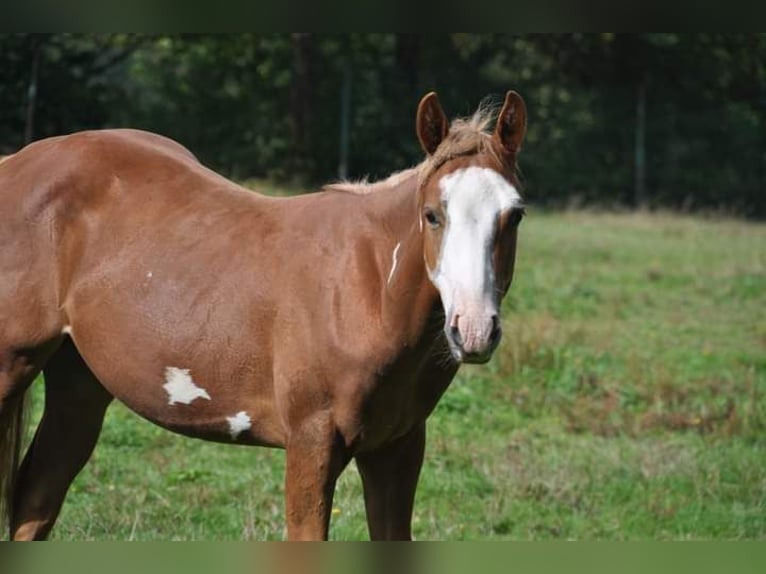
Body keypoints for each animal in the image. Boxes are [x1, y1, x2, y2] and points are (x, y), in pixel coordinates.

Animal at [0, 89, 528, 540]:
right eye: (432, 214)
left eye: (515, 214)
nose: (473, 330)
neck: (368, 288)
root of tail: (16, 164)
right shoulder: (312, 444)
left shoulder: (396, 448)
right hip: (13, 368)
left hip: (80, 388)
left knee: (35, 501)